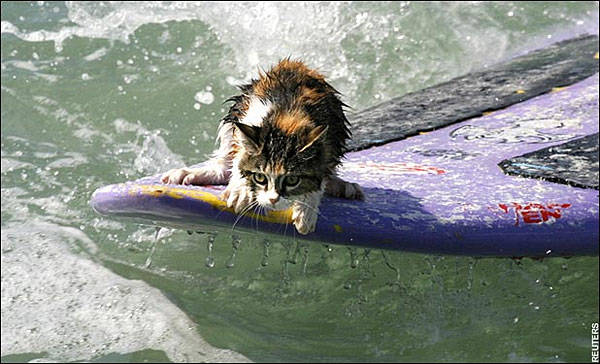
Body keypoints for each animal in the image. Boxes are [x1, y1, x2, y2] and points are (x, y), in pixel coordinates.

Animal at [162, 58, 364, 235]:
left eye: (292, 179)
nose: (274, 199)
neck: (286, 116)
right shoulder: (249, 117)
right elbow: (240, 157)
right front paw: (241, 191)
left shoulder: (328, 139)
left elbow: (320, 174)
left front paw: (306, 212)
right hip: (237, 109)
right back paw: (189, 174)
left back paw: (342, 186)